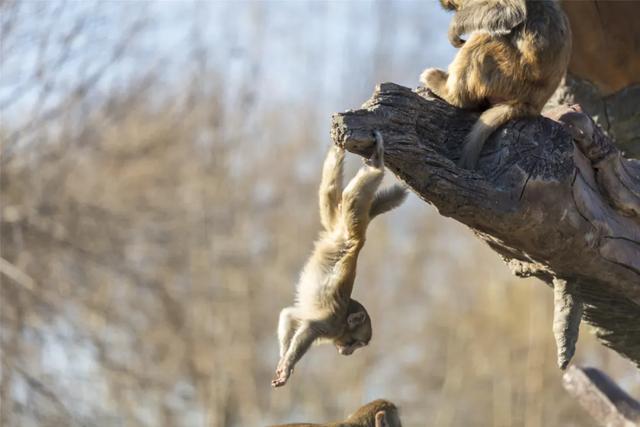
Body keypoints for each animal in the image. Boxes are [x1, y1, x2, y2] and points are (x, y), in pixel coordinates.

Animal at [272, 133, 408, 388]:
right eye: (356, 343)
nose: (349, 352)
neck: (344, 320)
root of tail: (358, 238)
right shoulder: (330, 324)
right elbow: (308, 329)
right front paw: (287, 365)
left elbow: (289, 315)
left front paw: (283, 357)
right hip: (351, 222)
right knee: (354, 194)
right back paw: (377, 162)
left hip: (338, 221)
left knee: (329, 191)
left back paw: (337, 151)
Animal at [422, 0, 572, 169]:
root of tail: (533, 106)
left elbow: (511, 10)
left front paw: (454, 27)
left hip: (512, 74)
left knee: (485, 37)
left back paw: (450, 93)